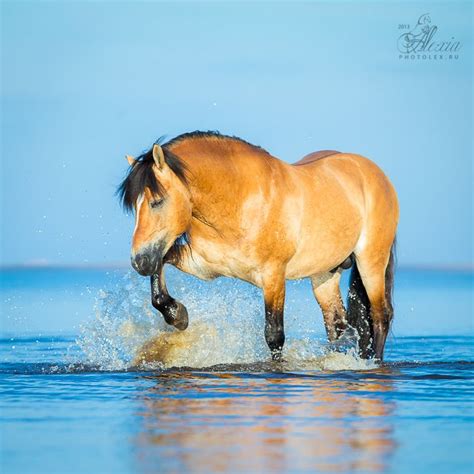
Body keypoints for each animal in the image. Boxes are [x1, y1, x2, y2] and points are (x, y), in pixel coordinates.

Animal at [118, 131, 400, 362]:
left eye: (157, 201)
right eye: (134, 206)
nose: (138, 261)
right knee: (337, 324)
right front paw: (177, 315)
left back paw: (374, 362)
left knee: (380, 315)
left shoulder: (273, 277)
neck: (240, 203)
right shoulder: (203, 266)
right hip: (324, 274)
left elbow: (274, 335)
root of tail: (376, 174)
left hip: (371, 261)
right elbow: (160, 271)